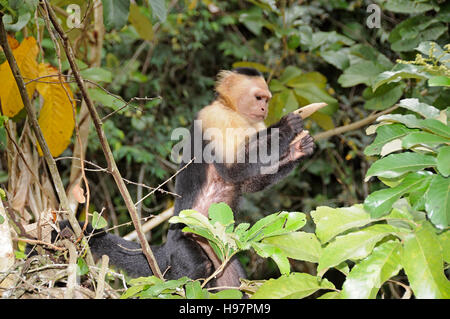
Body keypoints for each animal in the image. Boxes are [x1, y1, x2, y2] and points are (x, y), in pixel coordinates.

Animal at [42, 67, 316, 290]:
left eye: (267, 100)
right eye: (259, 98)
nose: (264, 109)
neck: (233, 111)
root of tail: (165, 248)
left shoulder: (255, 126)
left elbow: (248, 182)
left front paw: (298, 149)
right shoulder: (215, 117)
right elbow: (233, 170)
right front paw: (286, 126)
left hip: (219, 250)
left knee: (231, 281)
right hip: (184, 242)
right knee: (196, 268)